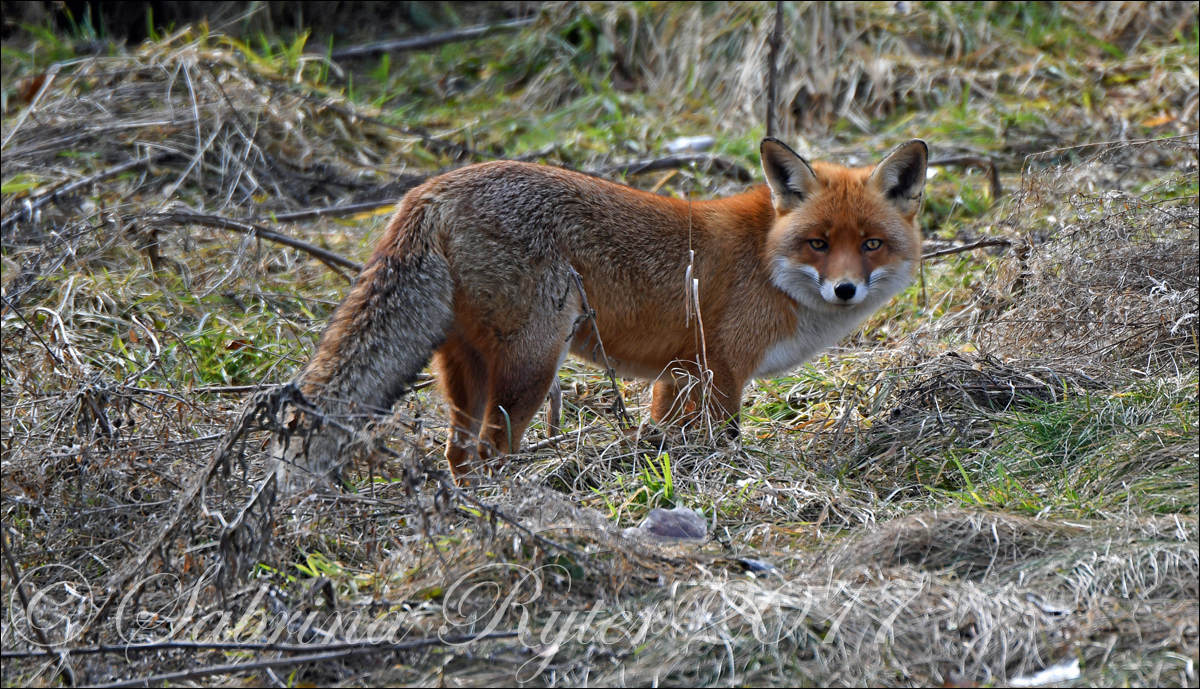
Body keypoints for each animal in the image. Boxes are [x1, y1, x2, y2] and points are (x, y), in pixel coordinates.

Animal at [274, 139, 926, 484]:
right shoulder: (719, 368)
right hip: (533, 366)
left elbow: (667, 435)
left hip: (465, 371)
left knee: (458, 454)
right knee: (490, 450)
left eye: (871, 244)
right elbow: (719, 440)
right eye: (818, 243)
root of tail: (431, 189)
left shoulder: (676, 374)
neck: (766, 259)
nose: (845, 290)